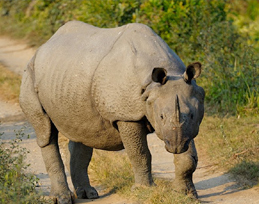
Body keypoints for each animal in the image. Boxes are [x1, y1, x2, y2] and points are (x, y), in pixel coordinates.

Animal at [19, 21, 205, 204]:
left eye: (192, 115)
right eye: (161, 117)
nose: (175, 146)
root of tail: (43, 46)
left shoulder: (188, 124)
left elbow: (189, 158)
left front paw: (186, 195)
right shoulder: (126, 116)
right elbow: (140, 154)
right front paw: (144, 190)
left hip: (68, 78)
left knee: (83, 132)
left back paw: (88, 194)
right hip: (30, 73)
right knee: (46, 133)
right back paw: (62, 198)